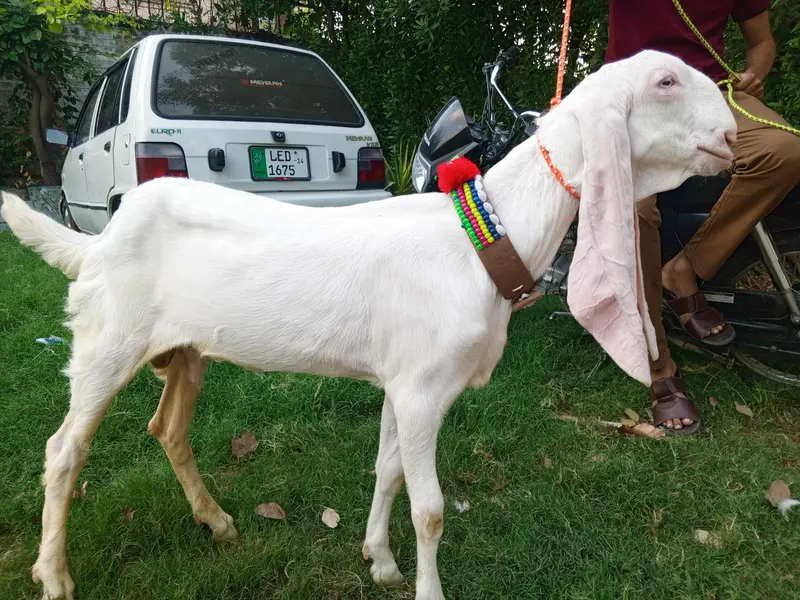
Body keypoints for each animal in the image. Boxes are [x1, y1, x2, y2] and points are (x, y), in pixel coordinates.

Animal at [1, 50, 736, 600]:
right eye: (665, 82)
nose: (732, 136)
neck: (482, 240)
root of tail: (97, 244)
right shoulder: (422, 388)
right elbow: (429, 507)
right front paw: (426, 589)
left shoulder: (399, 380)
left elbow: (387, 472)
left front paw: (378, 560)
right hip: (108, 341)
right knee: (64, 450)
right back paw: (55, 574)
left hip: (184, 349)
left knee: (167, 428)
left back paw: (216, 521)